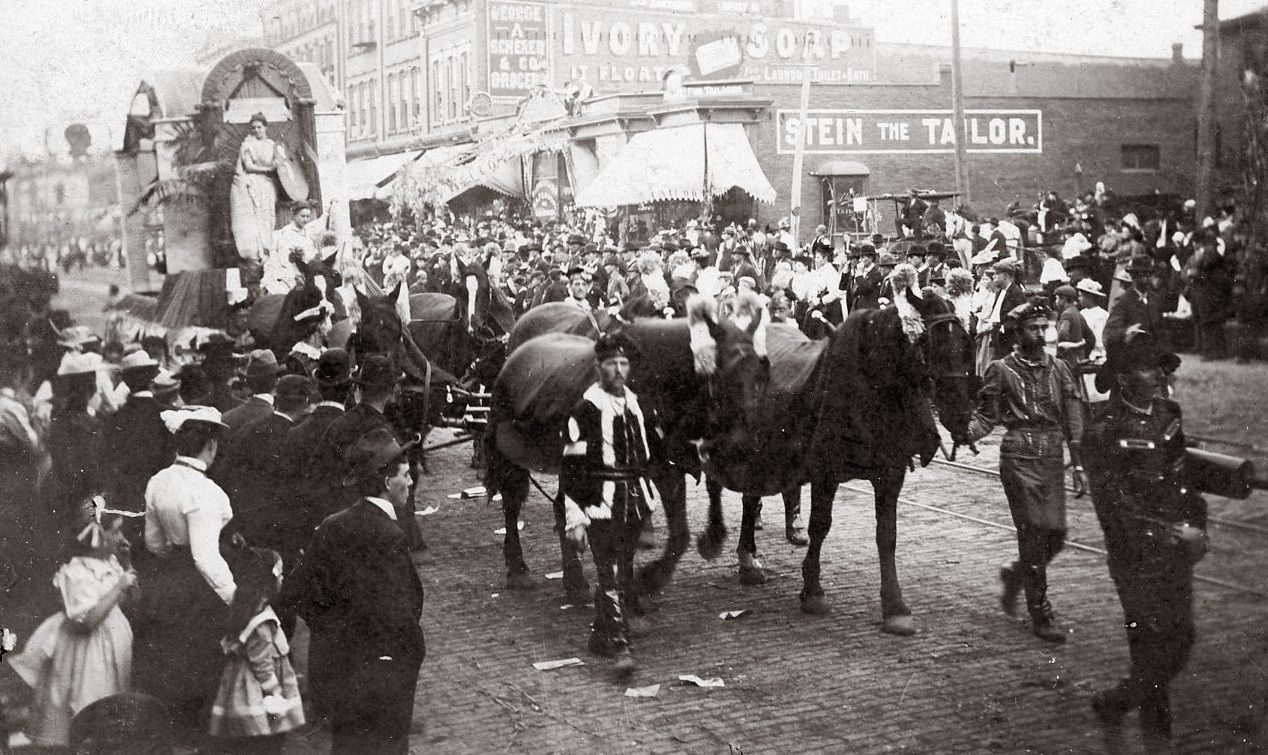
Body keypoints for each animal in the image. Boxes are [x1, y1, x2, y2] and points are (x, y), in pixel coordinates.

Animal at [479, 294, 765, 601]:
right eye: (730, 372)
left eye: (764, 372)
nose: (750, 444)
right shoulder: (659, 469)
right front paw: (648, 579)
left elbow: (684, 525)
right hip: (508, 455)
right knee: (512, 503)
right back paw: (518, 569)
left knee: (561, 506)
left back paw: (575, 581)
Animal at [699, 275, 973, 634]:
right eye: (928, 340)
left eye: (966, 339)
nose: (961, 412)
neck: (870, 386)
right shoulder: (825, 472)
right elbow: (820, 526)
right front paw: (813, 591)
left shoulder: (891, 473)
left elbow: (887, 536)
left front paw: (895, 606)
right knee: (726, 488)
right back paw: (728, 547)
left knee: (750, 496)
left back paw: (748, 559)